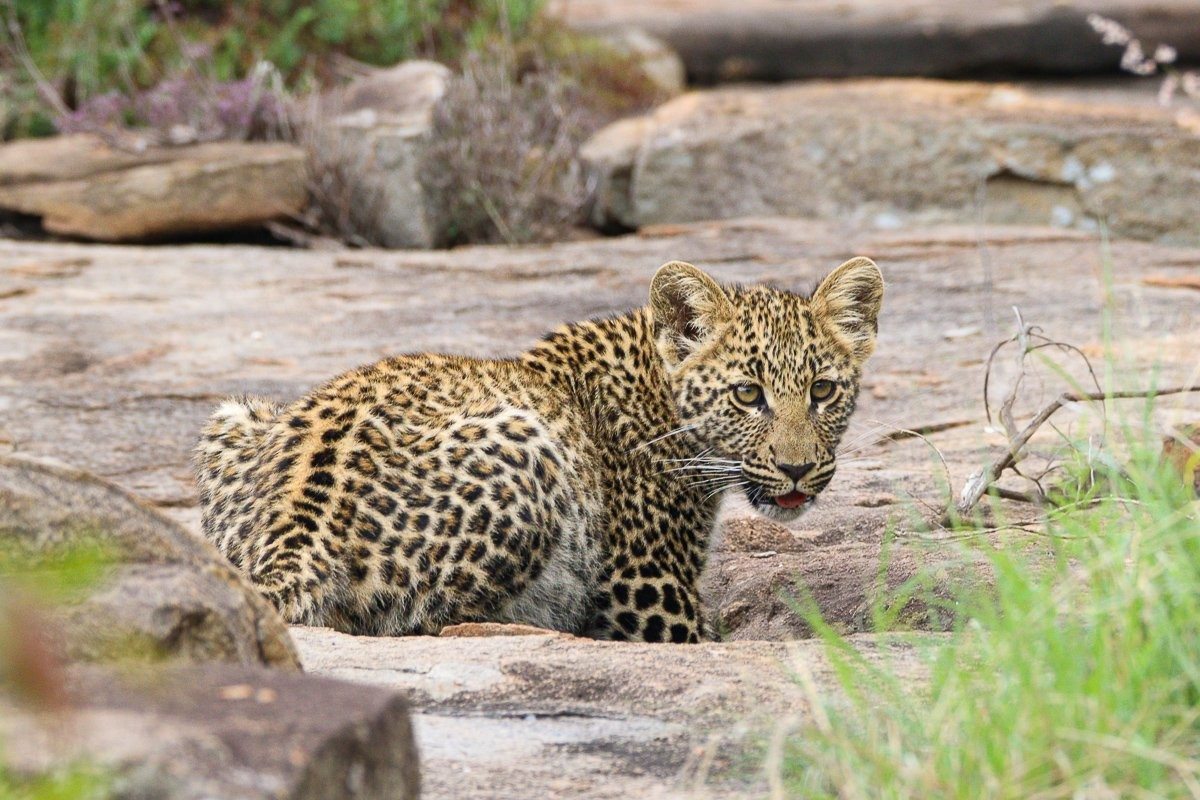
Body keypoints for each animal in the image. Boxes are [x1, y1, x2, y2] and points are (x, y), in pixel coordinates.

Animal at [194, 257, 884, 643]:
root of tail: (293, 537)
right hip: (533, 450)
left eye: (822, 390)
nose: (797, 469)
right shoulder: (648, 592)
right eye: (747, 394)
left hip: (231, 415)